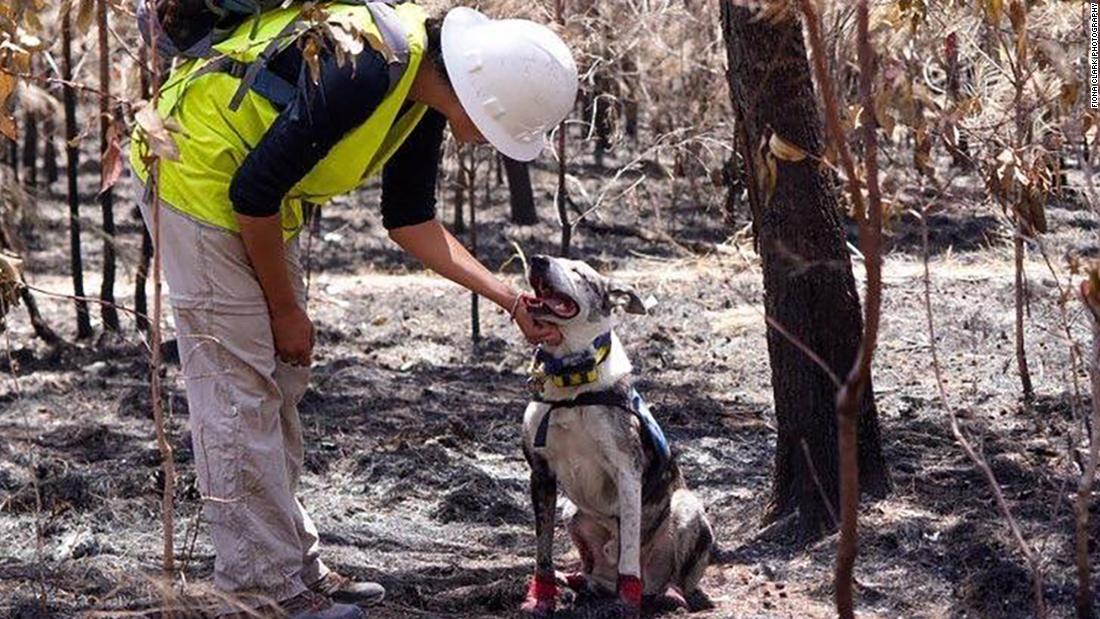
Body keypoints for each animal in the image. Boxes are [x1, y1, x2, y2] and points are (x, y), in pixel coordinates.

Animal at [517, 253, 712, 615]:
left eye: (579, 272)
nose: (538, 260)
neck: (573, 384)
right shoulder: (541, 472)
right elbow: (542, 549)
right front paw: (541, 596)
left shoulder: (627, 470)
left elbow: (630, 550)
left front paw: (627, 600)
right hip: (571, 511)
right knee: (596, 572)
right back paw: (579, 581)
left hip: (685, 506)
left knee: (673, 577)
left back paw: (670, 594)